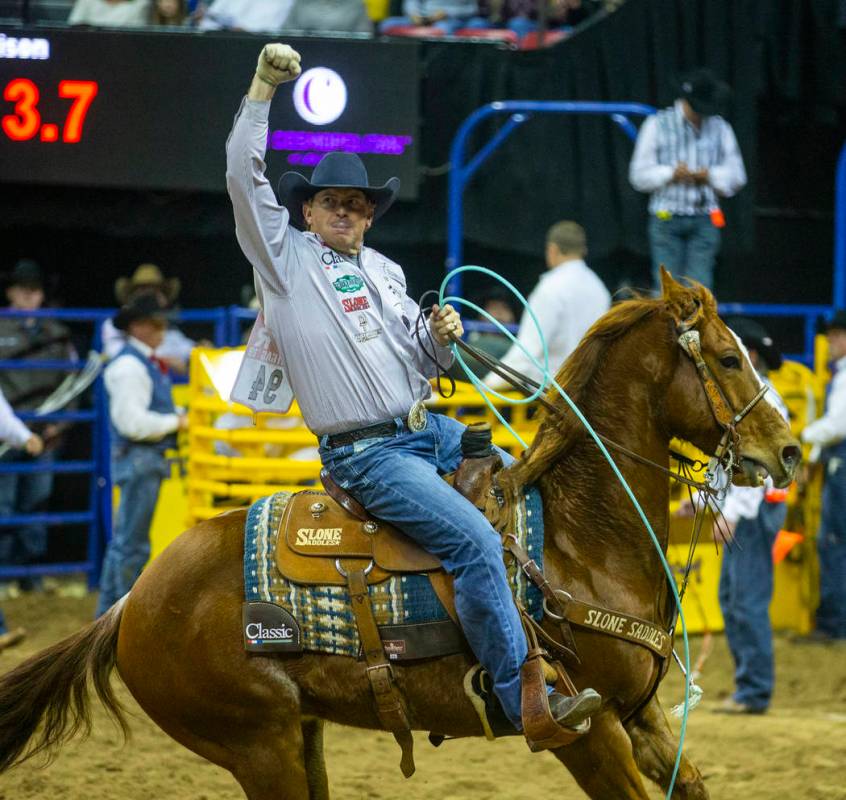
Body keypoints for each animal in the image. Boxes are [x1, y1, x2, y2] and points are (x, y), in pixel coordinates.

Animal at [0, 272, 800, 796]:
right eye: (728, 358)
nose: (788, 452)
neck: (579, 541)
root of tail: (130, 603)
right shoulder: (590, 729)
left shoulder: (645, 719)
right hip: (258, 745)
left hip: (301, 735)